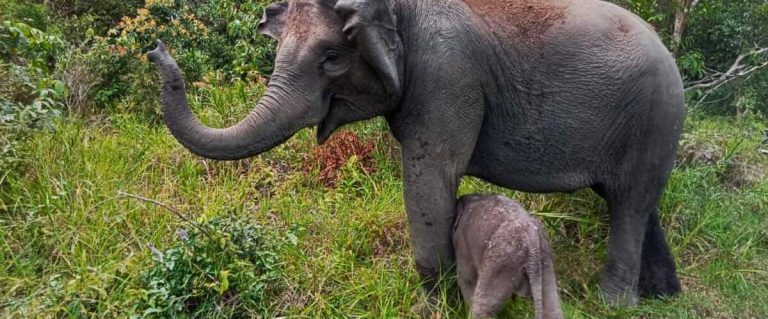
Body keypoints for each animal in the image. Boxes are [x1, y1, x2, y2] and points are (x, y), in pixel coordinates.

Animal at [148, 0, 684, 308]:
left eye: (332, 58)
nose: (155, 49)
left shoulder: (447, 76)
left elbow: (430, 177)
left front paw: (433, 307)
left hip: (655, 115)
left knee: (630, 203)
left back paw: (613, 305)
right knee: (637, 202)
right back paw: (662, 295)